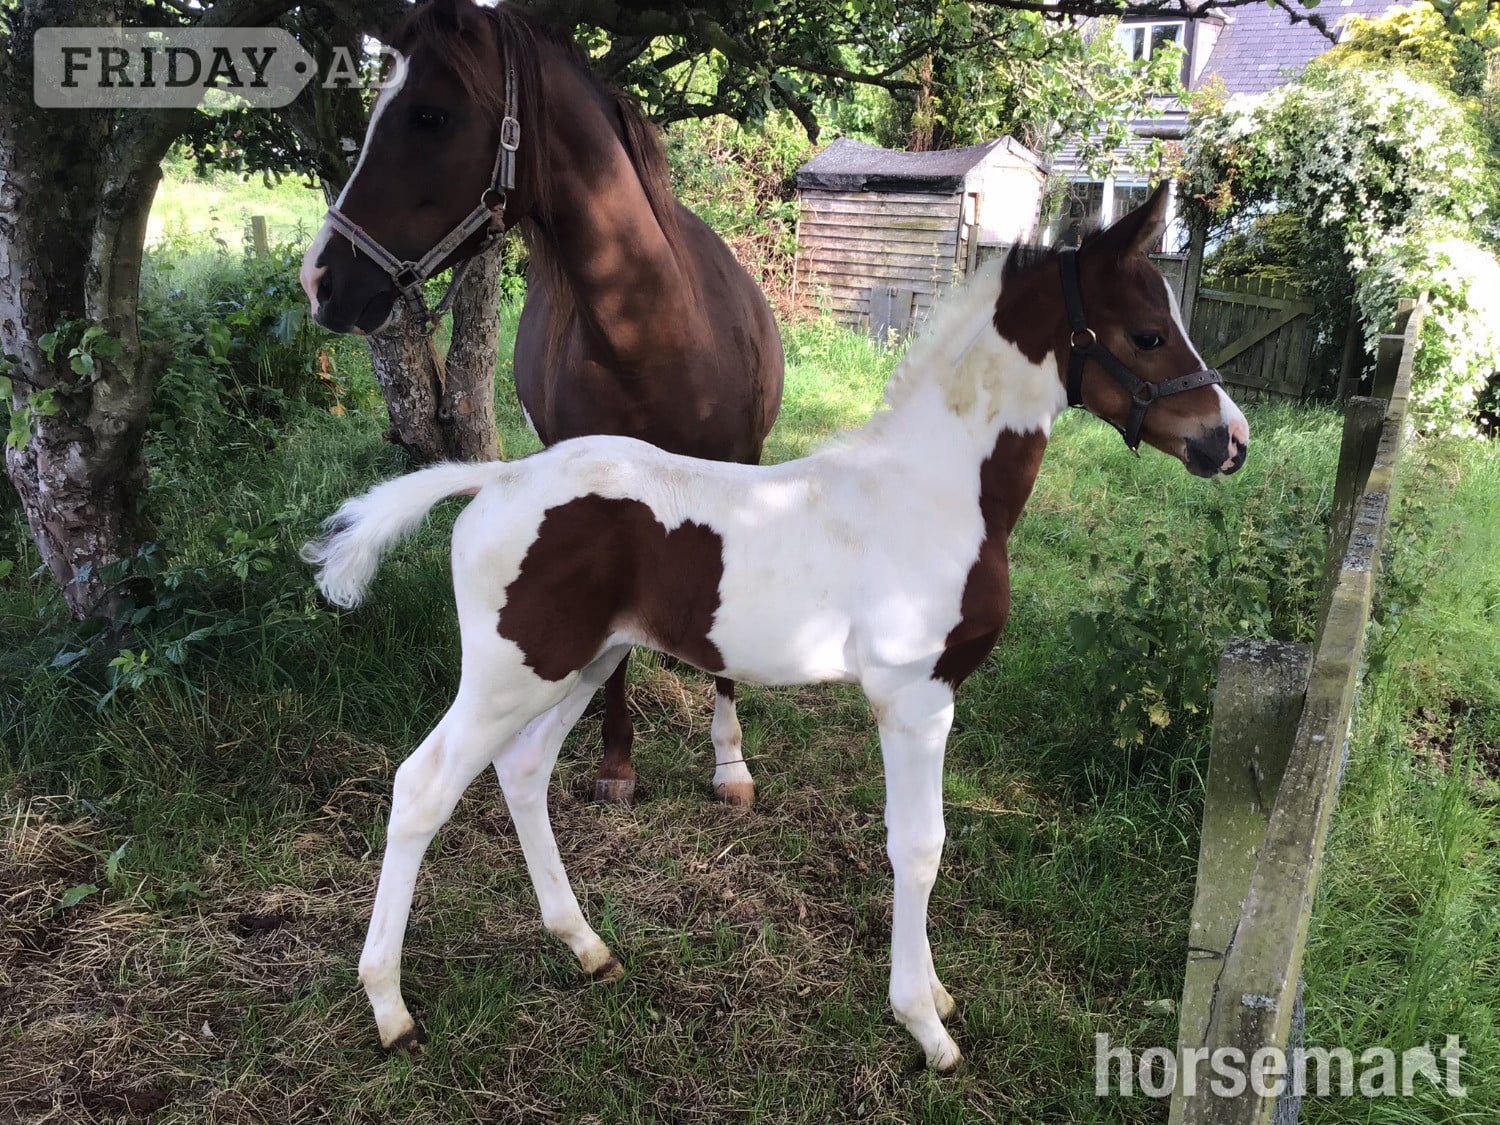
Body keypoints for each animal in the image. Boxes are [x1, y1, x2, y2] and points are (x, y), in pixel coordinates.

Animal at [302, 185, 1250, 1070]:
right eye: (1148, 335)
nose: (1228, 441)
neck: (934, 490)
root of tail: (497, 480)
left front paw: (938, 994)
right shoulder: (914, 699)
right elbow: (920, 846)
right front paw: (926, 1025)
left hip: (583, 664)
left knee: (524, 770)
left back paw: (587, 947)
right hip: (512, 671)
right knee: (423, 786)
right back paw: (390, 1008)